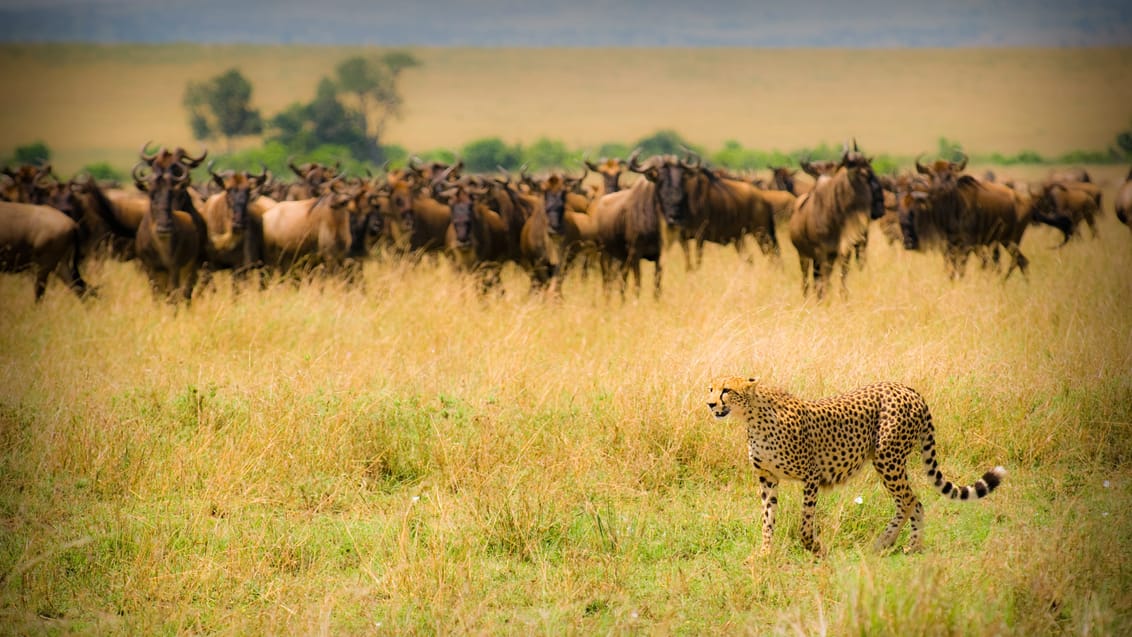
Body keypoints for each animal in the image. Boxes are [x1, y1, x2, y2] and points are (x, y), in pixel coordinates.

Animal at [706, 375, 1009, 556]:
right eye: (710, 388)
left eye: (726, 390)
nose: (710, 404)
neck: (752, 416)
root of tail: (908, 388)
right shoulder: (767, 478)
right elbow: (767, 519)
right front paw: (764, 554)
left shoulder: (812, 475)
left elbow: (805, 521)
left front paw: (813, 546)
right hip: (890, 461)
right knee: (913, 501)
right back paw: (905, 544)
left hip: (888, 458)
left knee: (909, 500)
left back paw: (895, 544)